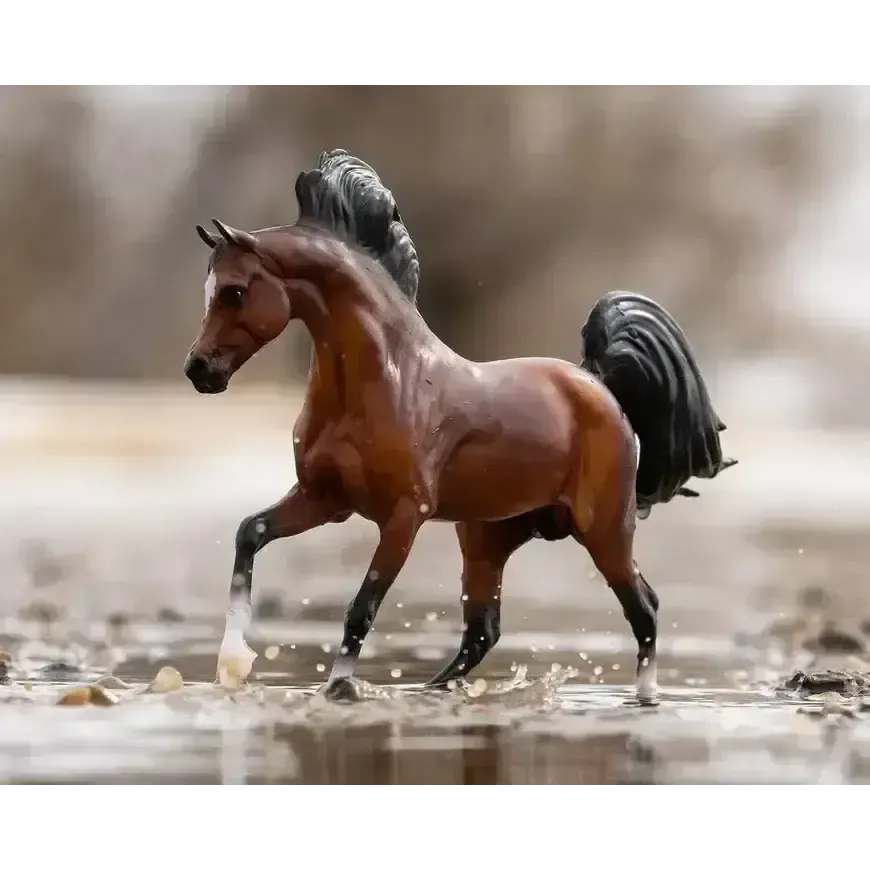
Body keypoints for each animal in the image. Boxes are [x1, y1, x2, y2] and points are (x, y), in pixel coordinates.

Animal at [183, 149, 736, 703]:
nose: (199, 370)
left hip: (603, 530)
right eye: (208, 289)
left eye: (235, 292)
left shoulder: (403, 516)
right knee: (483, 631)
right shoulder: (324, 499)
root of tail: (599, 384)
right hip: (486, 536)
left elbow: (362, 608)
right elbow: (249, 533)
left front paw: (338, 685)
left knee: (643, 609)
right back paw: (433, 689)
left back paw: (644, 695)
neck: (387, 380)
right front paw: (231, 661)